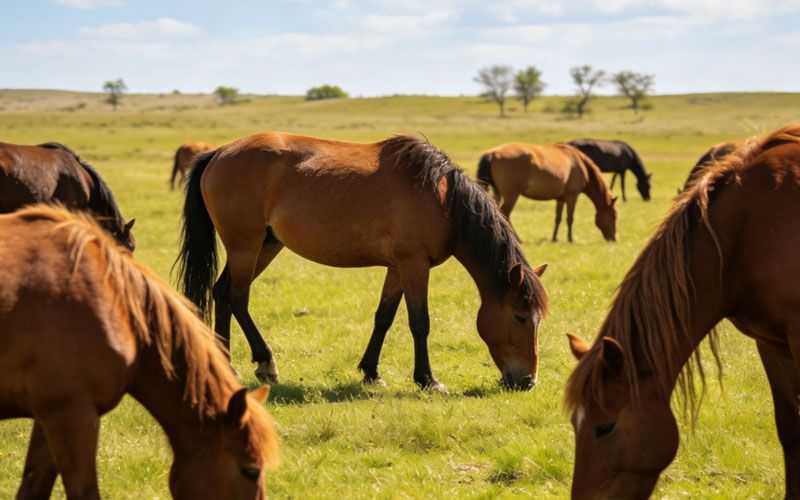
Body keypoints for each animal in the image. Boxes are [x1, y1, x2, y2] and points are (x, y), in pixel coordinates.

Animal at [175, 133, 548, 392]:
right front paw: (427, 379)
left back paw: (227, 364)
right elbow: (419, 322)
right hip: (246, 246)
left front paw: (371, 372)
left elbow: (384, 317)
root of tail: (218, 153)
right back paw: (264, 363)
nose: (528, 381)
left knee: (222, 293)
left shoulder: (398, 267)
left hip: (266, 245)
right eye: (519, 316)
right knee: (236, 297)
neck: (443, 200)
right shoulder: (415, 265)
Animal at [477, 143, 617, 243]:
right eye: (614, 216)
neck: (579, 163)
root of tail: (492, 153)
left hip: (498, 193)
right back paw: (517, 239)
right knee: (505, 214)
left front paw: (554, 238)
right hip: (512, 195)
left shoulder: (561, 198)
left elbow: (558, 218)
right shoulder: (572, 196)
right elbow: (570, 218)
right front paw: (570, 239)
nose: (614, 239)